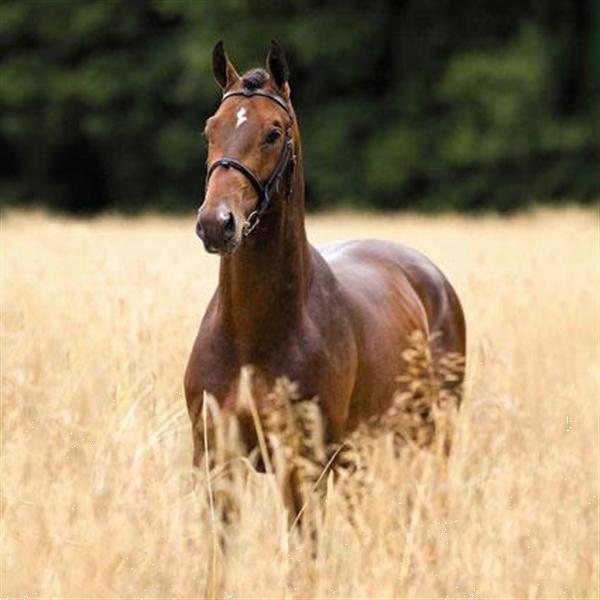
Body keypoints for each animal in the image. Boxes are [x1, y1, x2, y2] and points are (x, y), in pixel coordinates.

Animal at [185, 41, 466, 474]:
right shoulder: (215, 462)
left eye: (273, 133)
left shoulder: (304, 463)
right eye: (210, 129)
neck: (250, 337)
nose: (217, 224)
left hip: (427, 436)